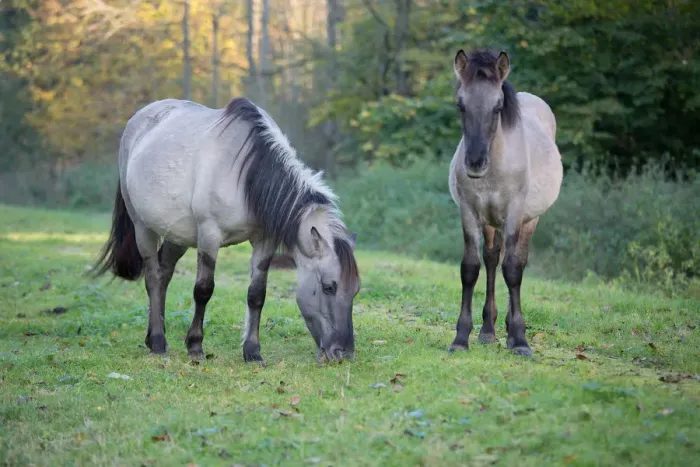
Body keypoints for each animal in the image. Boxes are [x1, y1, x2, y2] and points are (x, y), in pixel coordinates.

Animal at [93, 97, 360, 364]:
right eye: (328, 287)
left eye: (355, 290)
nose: (343, 353)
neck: (247, 176)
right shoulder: (209, 236)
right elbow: (203, 290)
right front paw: (195, 347)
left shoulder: (264, 241)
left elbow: (256, 294)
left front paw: (252, 351)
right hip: (143, 227)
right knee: (152, 277)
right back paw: (158, 341)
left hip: (176, 235)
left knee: (164, 274)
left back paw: (154, 337)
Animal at [448, 49, 563, 356]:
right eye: (460, 105)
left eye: (498, 107)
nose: (475, 163)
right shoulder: (469, 212)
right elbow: (470, 268)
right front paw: (461, 338)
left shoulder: (514, 214)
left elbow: (512, 270)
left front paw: (520, 339)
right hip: (490, 222)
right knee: (491, 259)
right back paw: (488, 330)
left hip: (529, 220)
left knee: (517, 261)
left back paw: (510, 330)